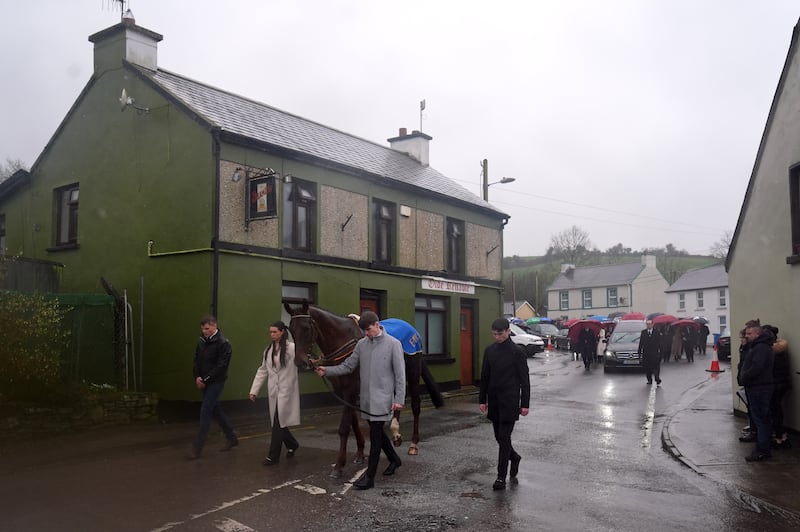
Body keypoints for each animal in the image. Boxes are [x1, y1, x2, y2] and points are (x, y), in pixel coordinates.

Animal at [282, 302, 446, 480]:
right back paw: (395, 432)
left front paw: (339, 466)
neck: (343, 340)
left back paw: (414, 444)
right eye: (291, 329)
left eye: (306, 328)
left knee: (415, 405)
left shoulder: (350, 389)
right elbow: (353, 421)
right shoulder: (343, 391)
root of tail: (413, 331)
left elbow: (344, 427)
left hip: (412, 373)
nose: (300, 362)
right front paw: (360, 453)